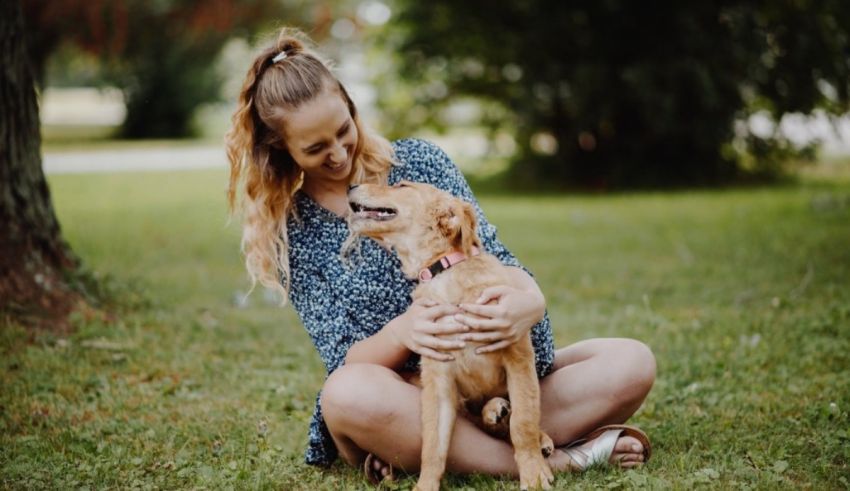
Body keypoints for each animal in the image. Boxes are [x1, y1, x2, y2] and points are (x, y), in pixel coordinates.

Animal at [348, 183, 552, 490]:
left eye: (401, 185)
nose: (352, 185)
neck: (444, 272)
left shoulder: (518, 359)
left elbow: (524, 421)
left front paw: (534, 474)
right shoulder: (438, 379)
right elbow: (433, 444)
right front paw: (425, 485)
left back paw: (537, 436)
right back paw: (495, 411)